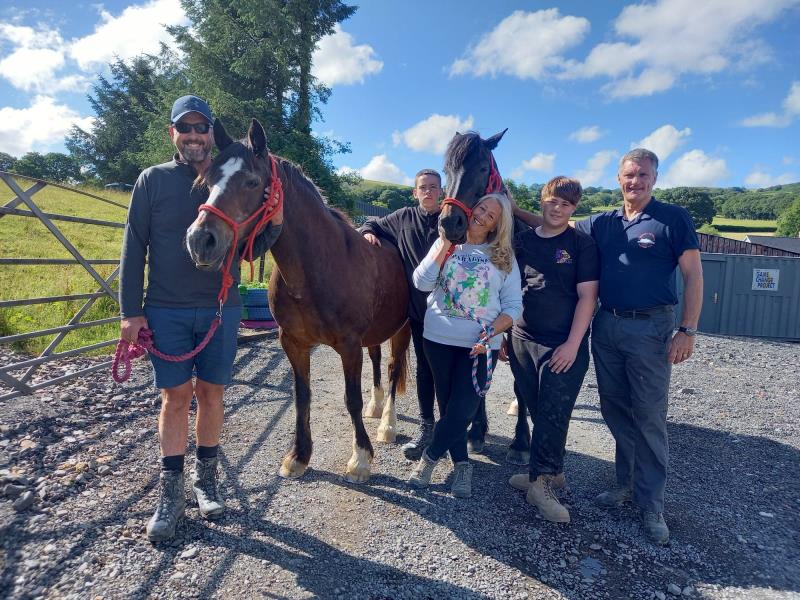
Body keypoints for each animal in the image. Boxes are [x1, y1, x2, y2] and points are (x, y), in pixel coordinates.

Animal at [184, 120, 410, 482]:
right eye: (208, 181)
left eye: (252, 181)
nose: (200, 240)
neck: (319, 268)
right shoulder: (293, 343)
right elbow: (302, 396)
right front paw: (298, 456)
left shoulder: (348, 345)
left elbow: (350, 399)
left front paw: (360, 459)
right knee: (377, 360)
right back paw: (376, 409)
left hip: (403, 329)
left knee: (391, 369)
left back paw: (387, 424)